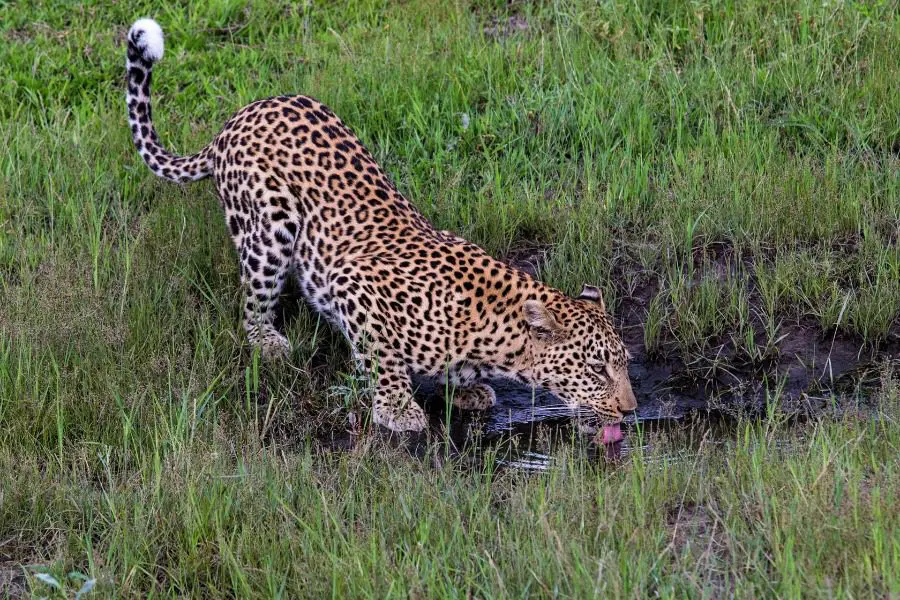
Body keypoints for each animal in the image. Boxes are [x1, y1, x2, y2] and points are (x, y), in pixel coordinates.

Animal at [125, 17, 640, 436]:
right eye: (597, 369)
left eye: (624, 365)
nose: (631, 410)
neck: (496, 336)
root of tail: (234, 120)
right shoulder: (354, 283)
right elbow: (382, 354)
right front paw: (397, 408)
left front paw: (465, 391)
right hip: (270, 229)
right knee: (253, 301)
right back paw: (268, 341)